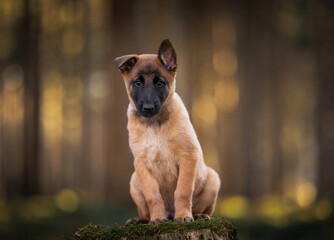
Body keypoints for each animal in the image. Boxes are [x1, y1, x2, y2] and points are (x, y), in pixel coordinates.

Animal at [115, 39, 222, 225]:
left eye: (159, 83)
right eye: (137, 83)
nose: (148, 108)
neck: (155, 125)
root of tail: (170, 213)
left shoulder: (188, 156)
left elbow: (183, 191)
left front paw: (183, 216)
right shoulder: (141, 164)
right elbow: (153, 196)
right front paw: (157, 218)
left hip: (213, 179)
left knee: (201, 208)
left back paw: (197, 215)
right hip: (134, 181)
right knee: (146, 212)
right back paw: (141, 219)